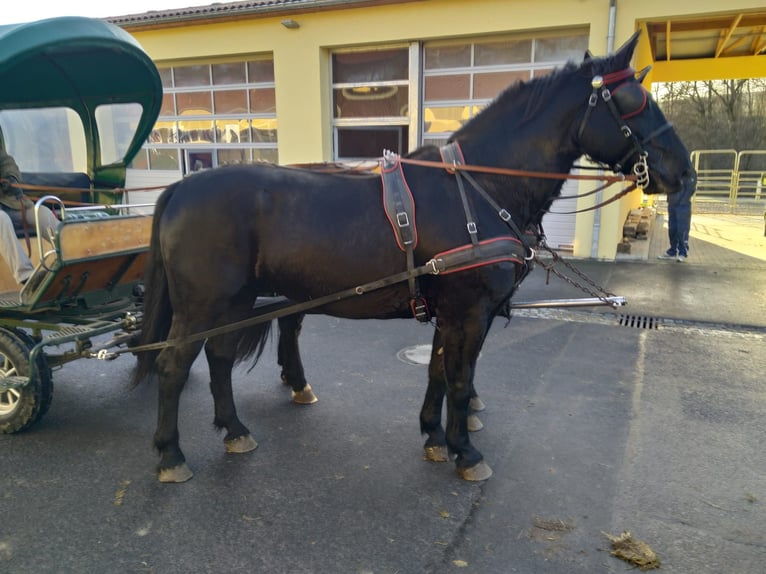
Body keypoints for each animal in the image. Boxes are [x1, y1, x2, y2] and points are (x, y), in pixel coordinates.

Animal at [135, 35, 700, 486]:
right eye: (632, 101)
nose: (684, 173)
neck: (480, 185)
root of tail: (181, 188)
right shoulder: (470, 312)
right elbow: (460, 378)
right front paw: (465, 451)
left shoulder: (449, 311)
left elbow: (437, 371)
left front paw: (434, 435)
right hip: (204, 304)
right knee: (172, 365)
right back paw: (170, 455)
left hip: (236, 301)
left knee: (220, 357)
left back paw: (234, 430)